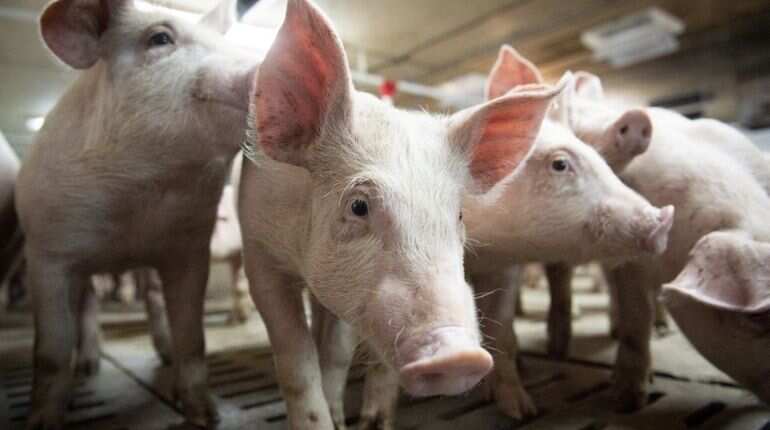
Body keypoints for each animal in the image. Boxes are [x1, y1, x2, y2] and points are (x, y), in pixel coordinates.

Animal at [15, 0, 258, 427]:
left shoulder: (189, 246)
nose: (269, 64)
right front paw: (42, 422)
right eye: (159, 38)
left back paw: (162, 355)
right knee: (89, 304)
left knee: (154, 300)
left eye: (224, 41)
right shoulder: (46, 250)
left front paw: (204, 415)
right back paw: (90, 368)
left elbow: (192, 335)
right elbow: (52, 350)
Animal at [237, 2, 564, 428]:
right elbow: (296, 358)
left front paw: (343, 417)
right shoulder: (258, 249)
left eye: (459, 215)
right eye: (358, 205)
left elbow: (337, 352)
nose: (459, 355)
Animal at [345, 45, 674, 428]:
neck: (485, 246)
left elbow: (500, 327)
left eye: (599, 158)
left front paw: (521, 410)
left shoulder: (505, 267)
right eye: (560, 164)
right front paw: (373, 422)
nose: (662, 219)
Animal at [555, 69, 770, 411]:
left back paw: (660, 327)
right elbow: (635, 317)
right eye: (759, 317)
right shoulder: (631, 257)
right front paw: (627, 401)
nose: (636, 118)